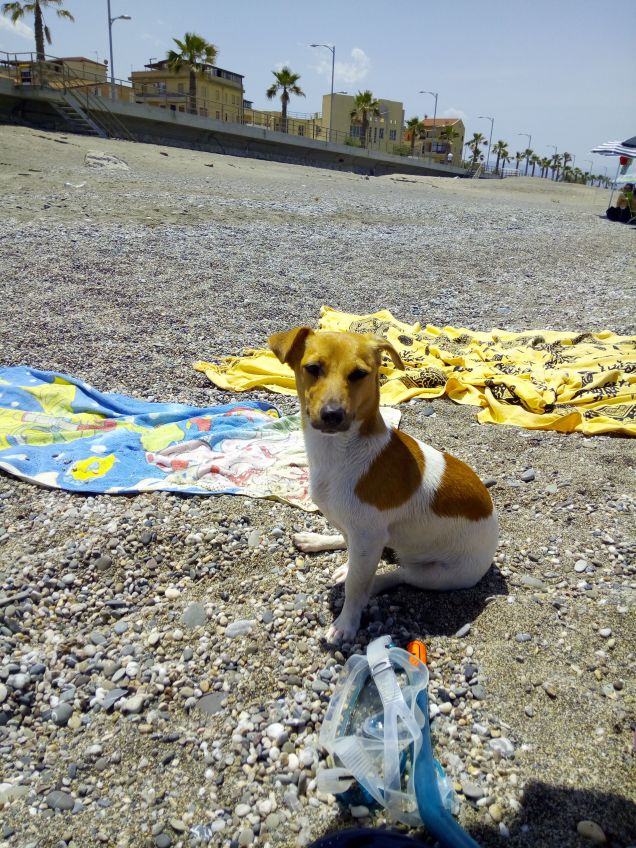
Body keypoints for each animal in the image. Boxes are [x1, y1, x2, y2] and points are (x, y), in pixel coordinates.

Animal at [266, 326, 500, 644]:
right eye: (312, 368)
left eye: (359, 374)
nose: (332, 414)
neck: (339, 453)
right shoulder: (362, 533)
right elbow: (352, 557)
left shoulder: (367, 537)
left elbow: (356, 586)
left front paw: (346, 624)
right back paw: (317, 542)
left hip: (442, 574)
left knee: (399, 575)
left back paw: (374, 582)